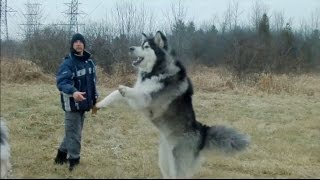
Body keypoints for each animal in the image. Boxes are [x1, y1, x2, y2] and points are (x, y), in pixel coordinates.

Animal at [92, 31, 250, 179]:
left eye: (146, 47)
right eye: (140, 44)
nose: (130, 48)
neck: (156, 71)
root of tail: (201, 133)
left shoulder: (148, 101)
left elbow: (136, 92)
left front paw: (124, 89)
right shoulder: (136, 100)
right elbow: (115, 93)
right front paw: (100, 104)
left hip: (178, 162)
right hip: (164, 160)